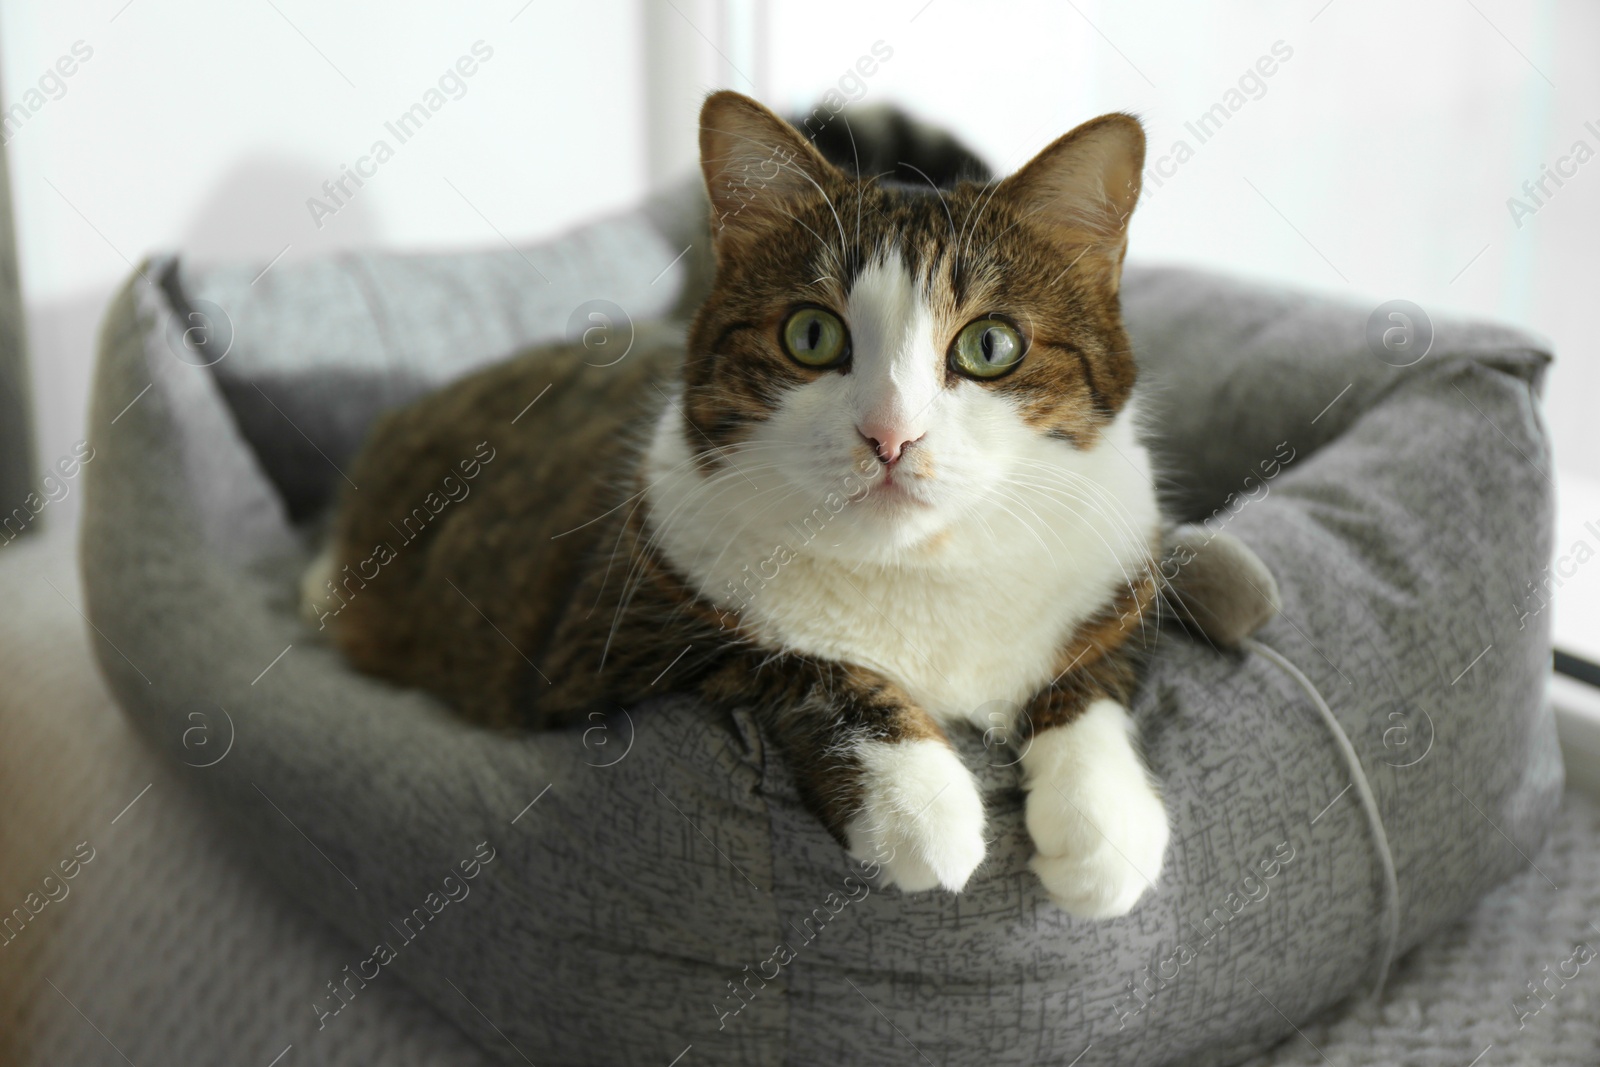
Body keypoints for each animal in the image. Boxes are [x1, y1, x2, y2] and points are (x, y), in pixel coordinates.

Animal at [305, 89, 1171, 921]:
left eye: (990, 346)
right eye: (812, 335)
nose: (890, 435)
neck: (915, 571)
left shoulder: (1116, 572)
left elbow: (1092, 668)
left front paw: (1104, 823)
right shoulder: (606, 641)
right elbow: (787, 657)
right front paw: (916, 797)